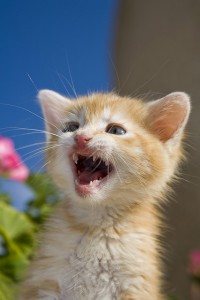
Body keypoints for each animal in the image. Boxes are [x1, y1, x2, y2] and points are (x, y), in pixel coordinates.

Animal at [19, 90, 191, 298]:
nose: (81, 137)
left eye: (116, 130)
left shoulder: (135, 285)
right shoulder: (44, 280)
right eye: (71, 127)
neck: (97, 223)